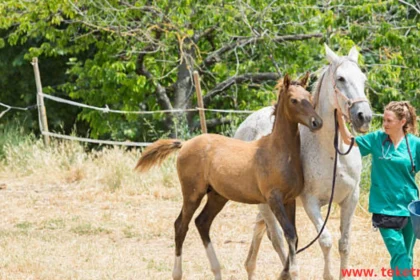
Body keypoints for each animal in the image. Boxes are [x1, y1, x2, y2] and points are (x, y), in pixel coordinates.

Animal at [235, 44, 372, 280]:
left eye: (363, 79)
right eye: (341, 78)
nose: (364, 117)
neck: (333, 154)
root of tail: (245, 124)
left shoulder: (350, 199)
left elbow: (344, 244)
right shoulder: (311, 202)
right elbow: (325, 241)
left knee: (262, 232)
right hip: (266, 203)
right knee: (278, 239)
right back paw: (287, 271)